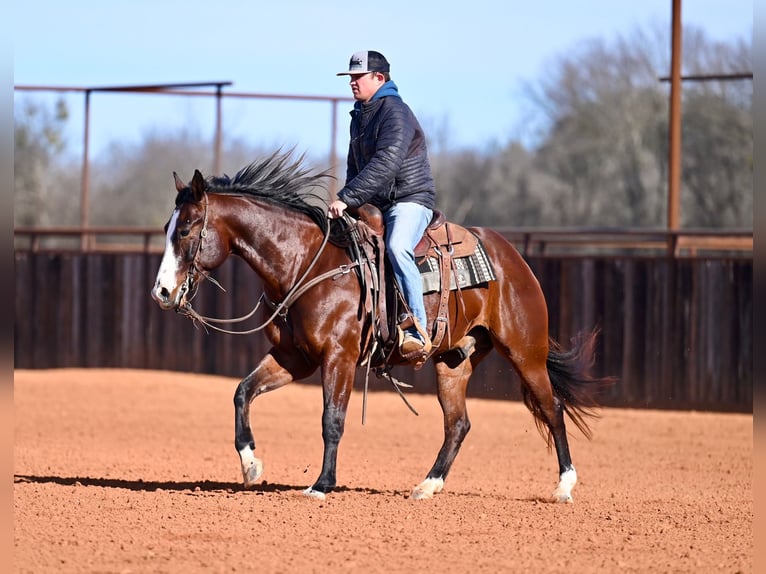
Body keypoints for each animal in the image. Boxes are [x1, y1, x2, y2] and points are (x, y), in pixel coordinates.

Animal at [151, 150, 610, 502]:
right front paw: (250, 465)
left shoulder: (339, 357)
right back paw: (427, 485)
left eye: (187, 229)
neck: (307, 262)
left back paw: (564, 486)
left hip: (524, 351)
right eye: (167, 228)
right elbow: (242, 392)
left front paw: (321, 485)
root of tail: (509, 255)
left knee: (551, 408)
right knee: (458, 424)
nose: (161, 291)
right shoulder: (294, 358)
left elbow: (332, 419)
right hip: (453, 360)